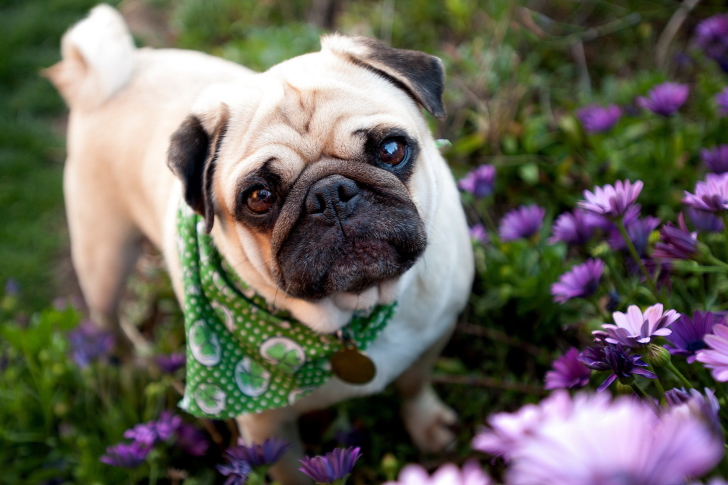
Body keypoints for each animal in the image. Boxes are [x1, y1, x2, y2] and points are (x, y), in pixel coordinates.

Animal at [47, 5, 478, 482]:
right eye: (259, 197)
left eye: (390, 150)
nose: (330, 195)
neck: (353, 312)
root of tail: (113, 77)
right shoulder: (267, 429)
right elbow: (289, 470)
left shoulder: (434, 335)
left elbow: (414, 386)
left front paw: (428, 426)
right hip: (104, 256)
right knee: (104, 317)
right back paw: (124, 365)